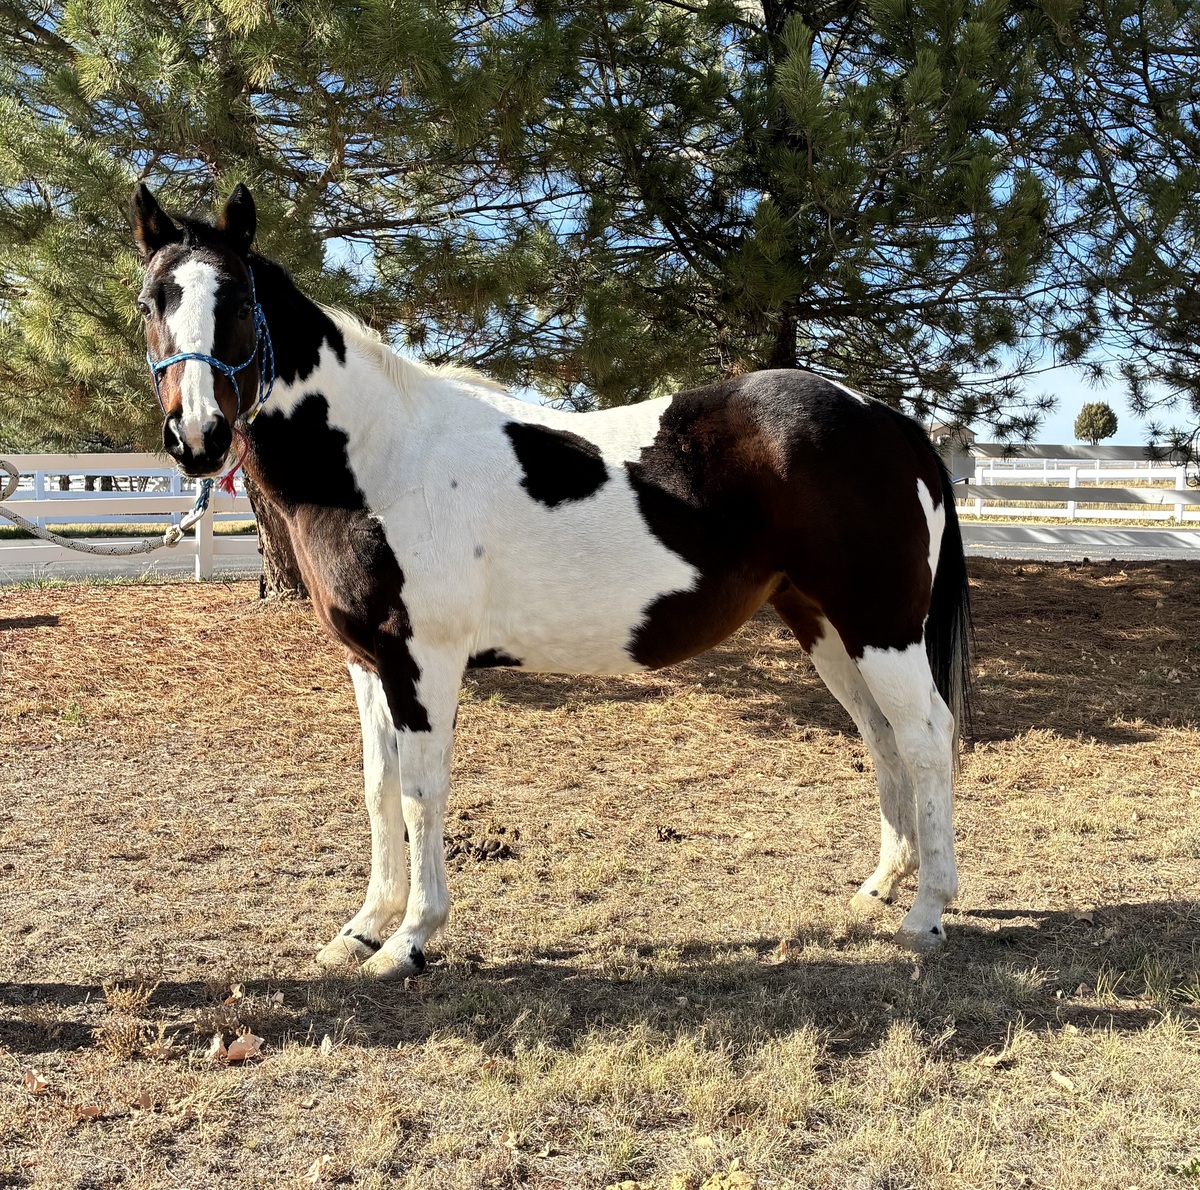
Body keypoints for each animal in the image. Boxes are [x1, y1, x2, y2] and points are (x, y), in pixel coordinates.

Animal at [130, 182, 971, 980]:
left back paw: (927, 912)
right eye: (151, 302)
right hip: (826, 626)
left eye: (238, 301)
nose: (197, 437)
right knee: (881, 736)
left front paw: (409, 940)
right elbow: (378, 789)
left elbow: (421, 792)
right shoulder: (368, 663)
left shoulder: (423, 662)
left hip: (882, 628)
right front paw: (363, 927)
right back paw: (880, 887)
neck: (382, 457)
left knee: (927, 737)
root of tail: (890, 423)